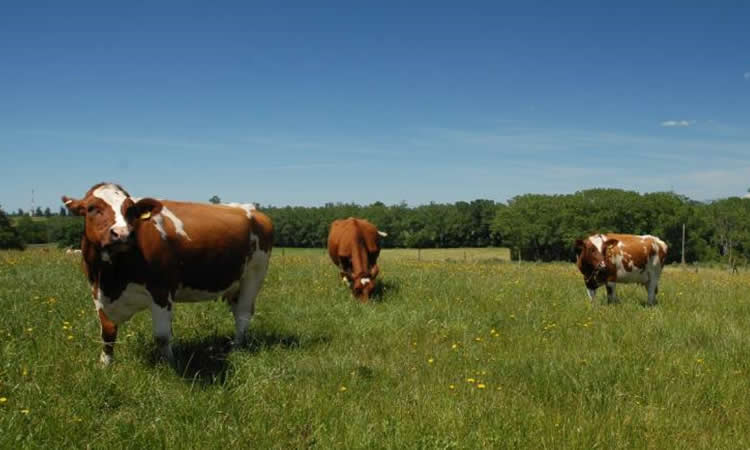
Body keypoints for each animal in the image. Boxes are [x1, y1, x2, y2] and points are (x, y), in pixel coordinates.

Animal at [61, 183, 274, 366]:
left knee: (243, 314)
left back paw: (237, 348)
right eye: (91, 208)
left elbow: (162, 336)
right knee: (237, 310)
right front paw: (105, 365)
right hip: (234, 283)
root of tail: (250, 209)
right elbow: (107, 334)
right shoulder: (97, 293)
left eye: (131, 210)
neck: (111, 277)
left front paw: (170, 365)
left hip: (254, 275)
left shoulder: (161, 291)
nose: (122, 234)